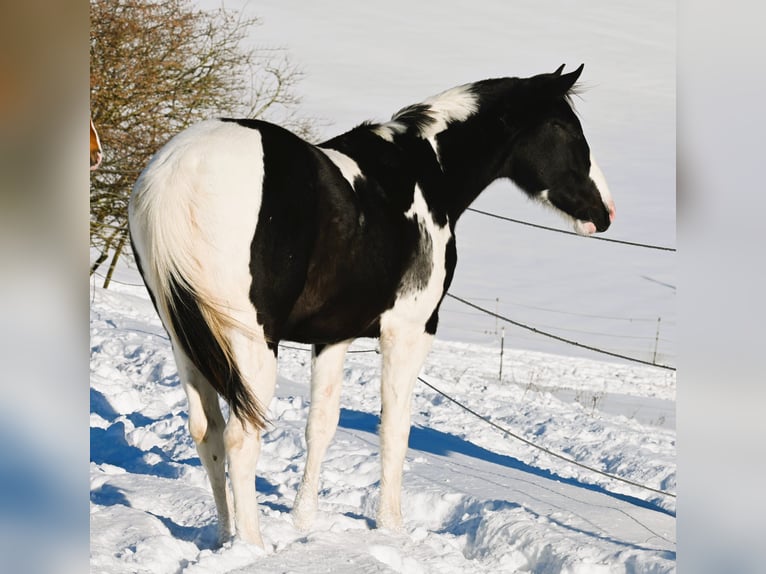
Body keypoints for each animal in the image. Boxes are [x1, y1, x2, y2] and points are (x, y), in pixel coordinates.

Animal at [128, 64, 615, 547]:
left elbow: (321, 425)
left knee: (206, 433)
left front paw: (304, 521)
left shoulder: (333, 337)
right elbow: (395, 429)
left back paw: (223, 538)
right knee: (240, 438)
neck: (424, 173)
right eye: (565, 129)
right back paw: (252, 547)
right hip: (249, 343)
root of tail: (177, 172)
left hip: (187, 340)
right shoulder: (409, 332)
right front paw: (391, 529)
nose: (605, 213)